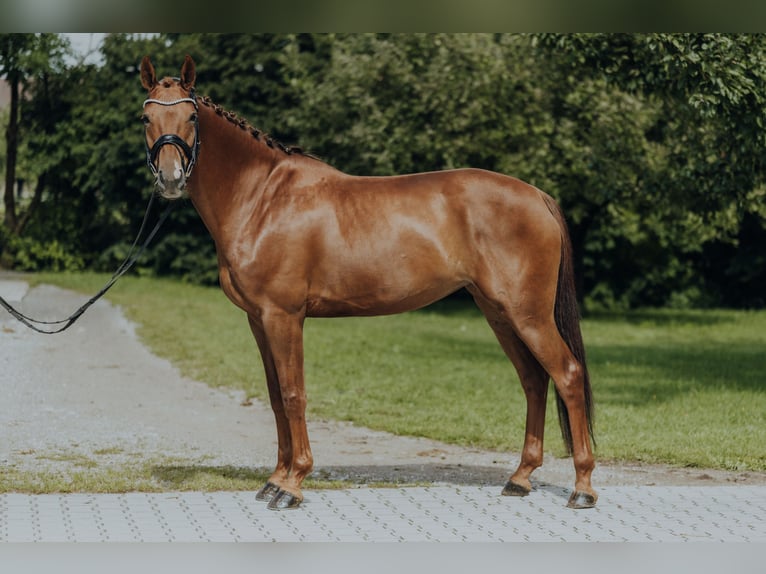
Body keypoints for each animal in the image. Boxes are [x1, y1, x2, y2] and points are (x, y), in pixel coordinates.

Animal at [141, 56, 596, 510]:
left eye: (192, 116)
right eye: (146, 117)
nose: (170, 179)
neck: (263, 199)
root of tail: (537, 196)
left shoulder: (283, 316)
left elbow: (293, 394)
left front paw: (291, 485)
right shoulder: (258, 319)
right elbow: (274, 396)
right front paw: (275, 479)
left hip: (528, 314)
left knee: (568, 375)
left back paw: (583, 487)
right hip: (499, 313)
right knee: (534, 381)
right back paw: (520, 477)